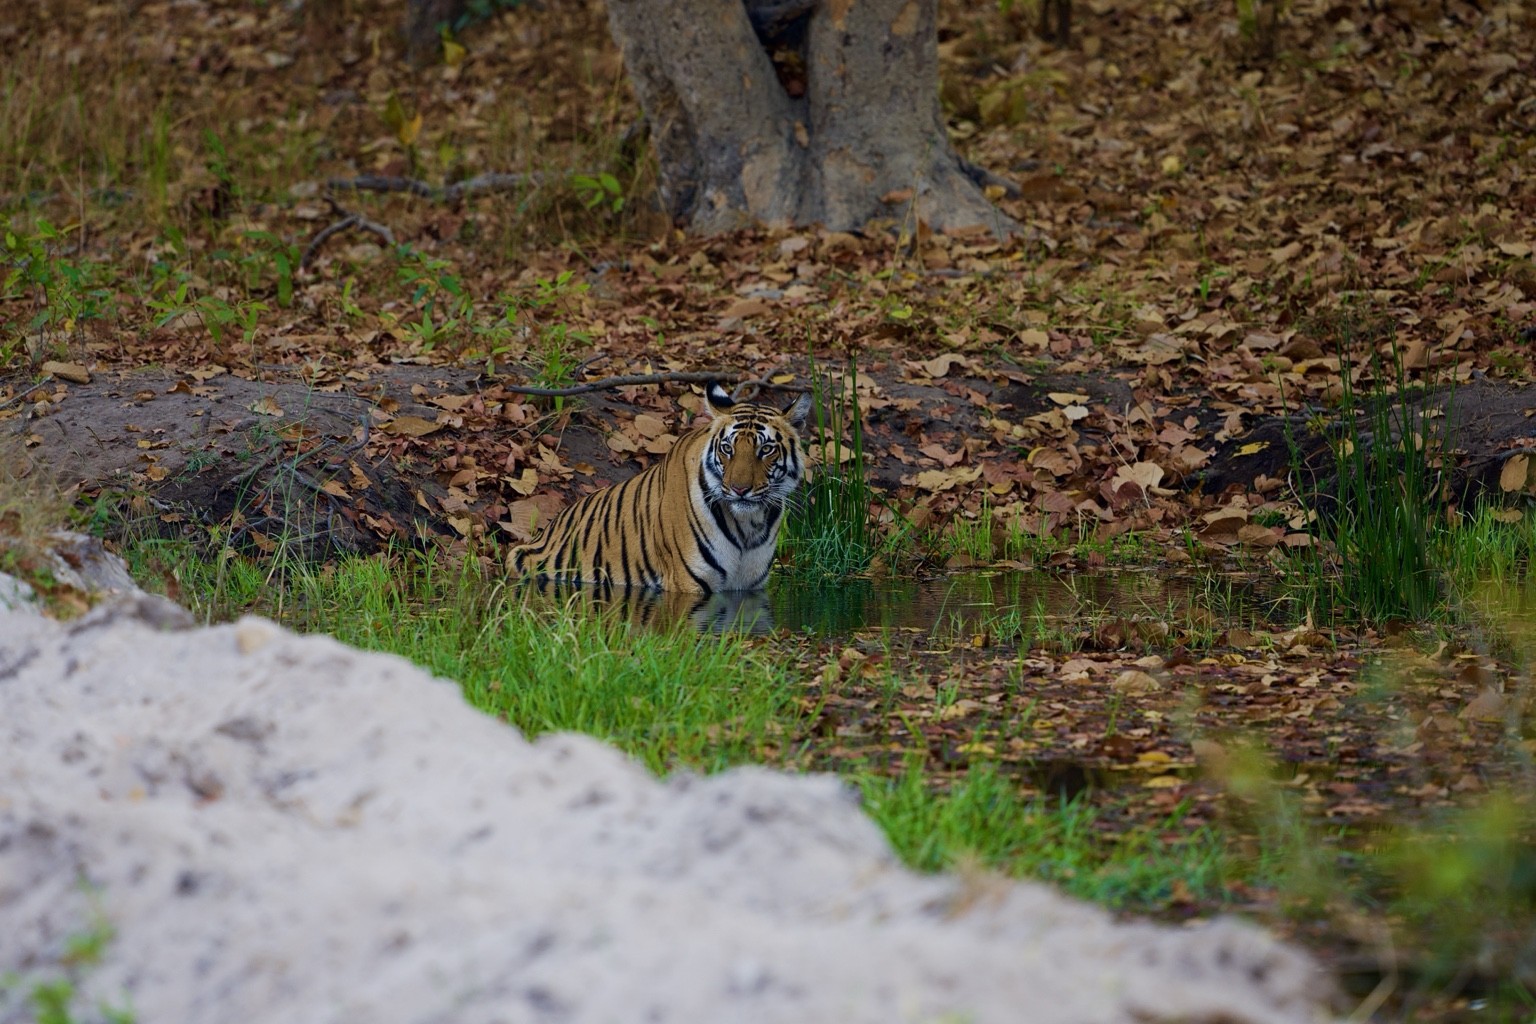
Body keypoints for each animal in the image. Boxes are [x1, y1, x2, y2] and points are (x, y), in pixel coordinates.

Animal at [508, 382, 813, 594]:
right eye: (728, 449)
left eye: (766, 450)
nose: (739, 490)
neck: (749, 525)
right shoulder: (689, 583)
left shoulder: (750, 587)